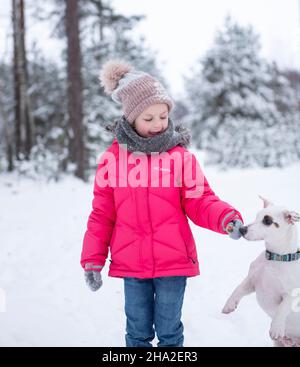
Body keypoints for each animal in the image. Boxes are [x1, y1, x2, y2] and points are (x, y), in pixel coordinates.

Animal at [221, 197, 298, 346]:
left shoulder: (292, 293)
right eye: (257, 216)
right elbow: (238, 289)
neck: (275, 258)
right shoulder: (251, 281)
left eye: (267, 221)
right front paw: (229, 304)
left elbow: (283, 307)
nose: (242, 229)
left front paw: (276, 327)